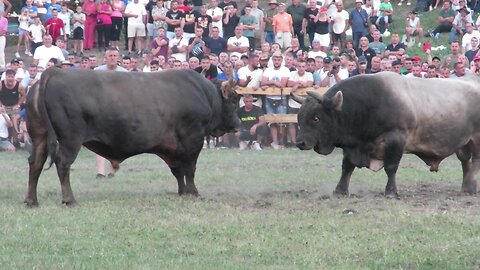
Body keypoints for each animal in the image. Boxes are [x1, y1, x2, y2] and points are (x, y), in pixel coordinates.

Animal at [23, 68, 240, 207]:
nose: (238, 123)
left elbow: (178, 170)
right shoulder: (192, 139)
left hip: (40, 136)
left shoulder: (172, 147)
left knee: (35, 163)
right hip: (71, 139)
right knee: (63, 163)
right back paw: (69, 199)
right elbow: (190, 168)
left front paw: (182, 192)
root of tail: (54, 72)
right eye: (234, 99)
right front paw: (193, 192)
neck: (204, 94)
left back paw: (31, 200)